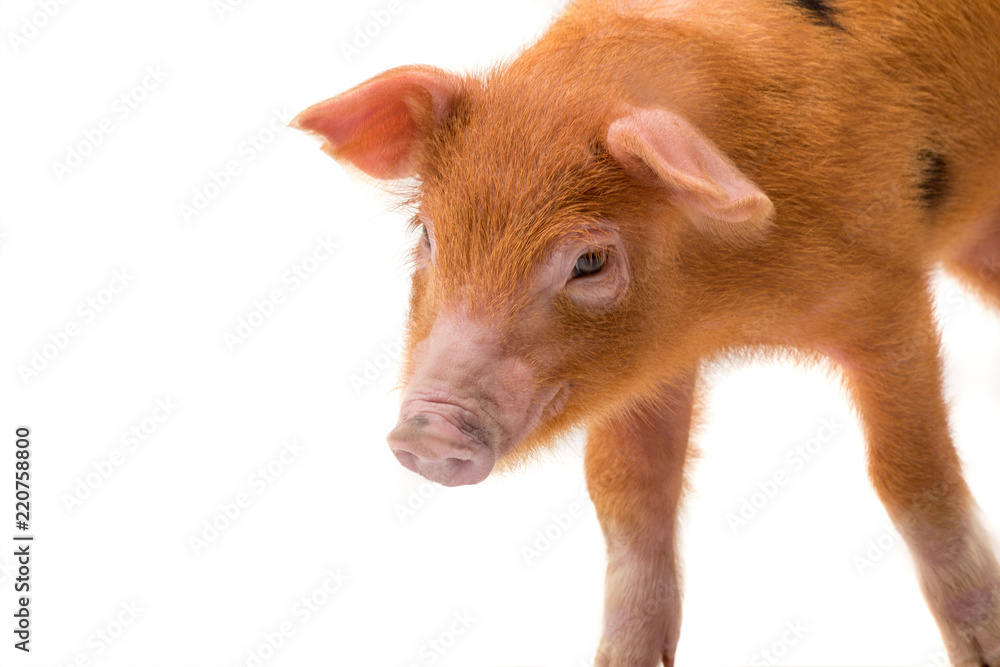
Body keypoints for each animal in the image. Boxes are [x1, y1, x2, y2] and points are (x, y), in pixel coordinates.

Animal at [292, 0, 1000, 663]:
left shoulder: (887, 297)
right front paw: (620, 659)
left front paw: (984, 651)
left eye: (590, 261)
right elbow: (628, 489)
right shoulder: (637, 370)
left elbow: (911, 476)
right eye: (428, 235)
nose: (428, 432)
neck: (722, 314)